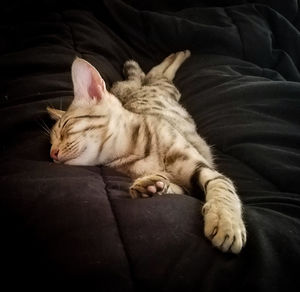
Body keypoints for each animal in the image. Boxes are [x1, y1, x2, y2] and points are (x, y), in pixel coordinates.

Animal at [47, 50, 246, 253]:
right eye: (51, 142)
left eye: (65, 127)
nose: (52, 153)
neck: (133, 149)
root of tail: (133, 89)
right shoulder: (185, 189)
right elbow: (173, 187)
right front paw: (153, 185)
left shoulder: (204, 169)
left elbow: (223, 187)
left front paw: (226, 221)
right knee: (148, 74)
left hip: (167, 87)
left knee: (158, 72)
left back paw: (181, 54)